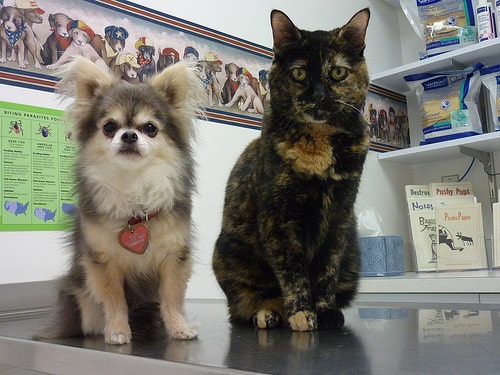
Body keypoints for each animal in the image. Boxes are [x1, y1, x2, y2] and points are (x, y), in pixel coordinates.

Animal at [35, 56, 203, 346]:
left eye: (150, 128)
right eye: (109, 127)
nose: (129, 135)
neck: (132, 186)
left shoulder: (173, 256)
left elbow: (171, 297)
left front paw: (179, 327)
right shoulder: (104, 263)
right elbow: (114, 300)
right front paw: (117, 331)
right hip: (83, 301)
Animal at [212, 9, 372, 332]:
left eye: (338, 73)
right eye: (299, 74)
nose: (319, 95)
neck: (319, 144)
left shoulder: (339, 216)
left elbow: (326, 269)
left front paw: (324, 311)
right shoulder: (279, 218)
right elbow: (292, 271)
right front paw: (301, 312)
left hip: (352, 258)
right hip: (227, 254)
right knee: (244, 305)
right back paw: (269, 314)